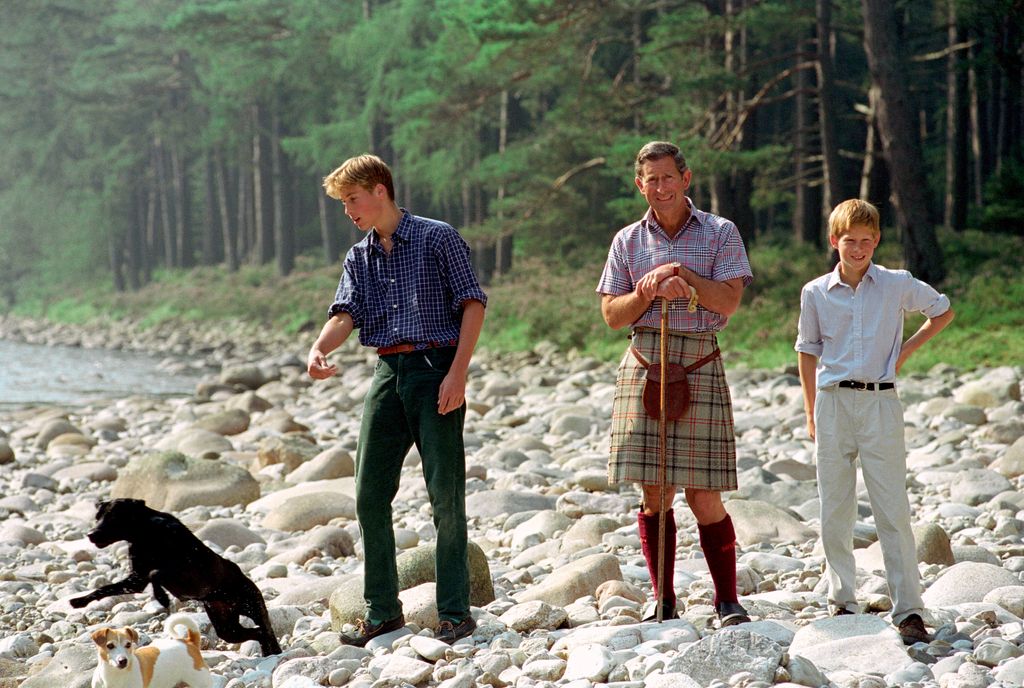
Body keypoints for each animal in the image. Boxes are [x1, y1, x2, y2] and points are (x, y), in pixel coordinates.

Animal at [70, 499, 282, 655]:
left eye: (113, 518)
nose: (91, 534)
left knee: (265, 629)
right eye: (98, 517)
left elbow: (156, 573)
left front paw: (162, 597)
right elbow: (104, 588)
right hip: (227, 627)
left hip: (252, 606)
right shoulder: (136, 579)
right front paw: (80, 601)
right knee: (256, 633)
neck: (146, 531)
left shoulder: (181, 570)